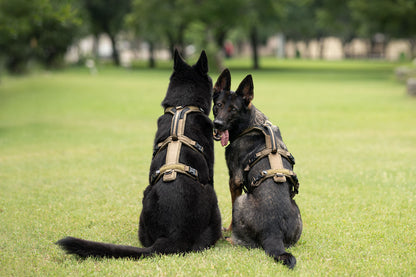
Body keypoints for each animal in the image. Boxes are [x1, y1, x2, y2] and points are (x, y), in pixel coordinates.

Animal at [213, 68, 300, 268]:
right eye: (218, 105)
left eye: (233, 109)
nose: (217, 124)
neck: (250, 123)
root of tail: (273, 231)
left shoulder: (234, 181)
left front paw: (229, 228)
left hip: (241, 201)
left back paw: (226, 237)